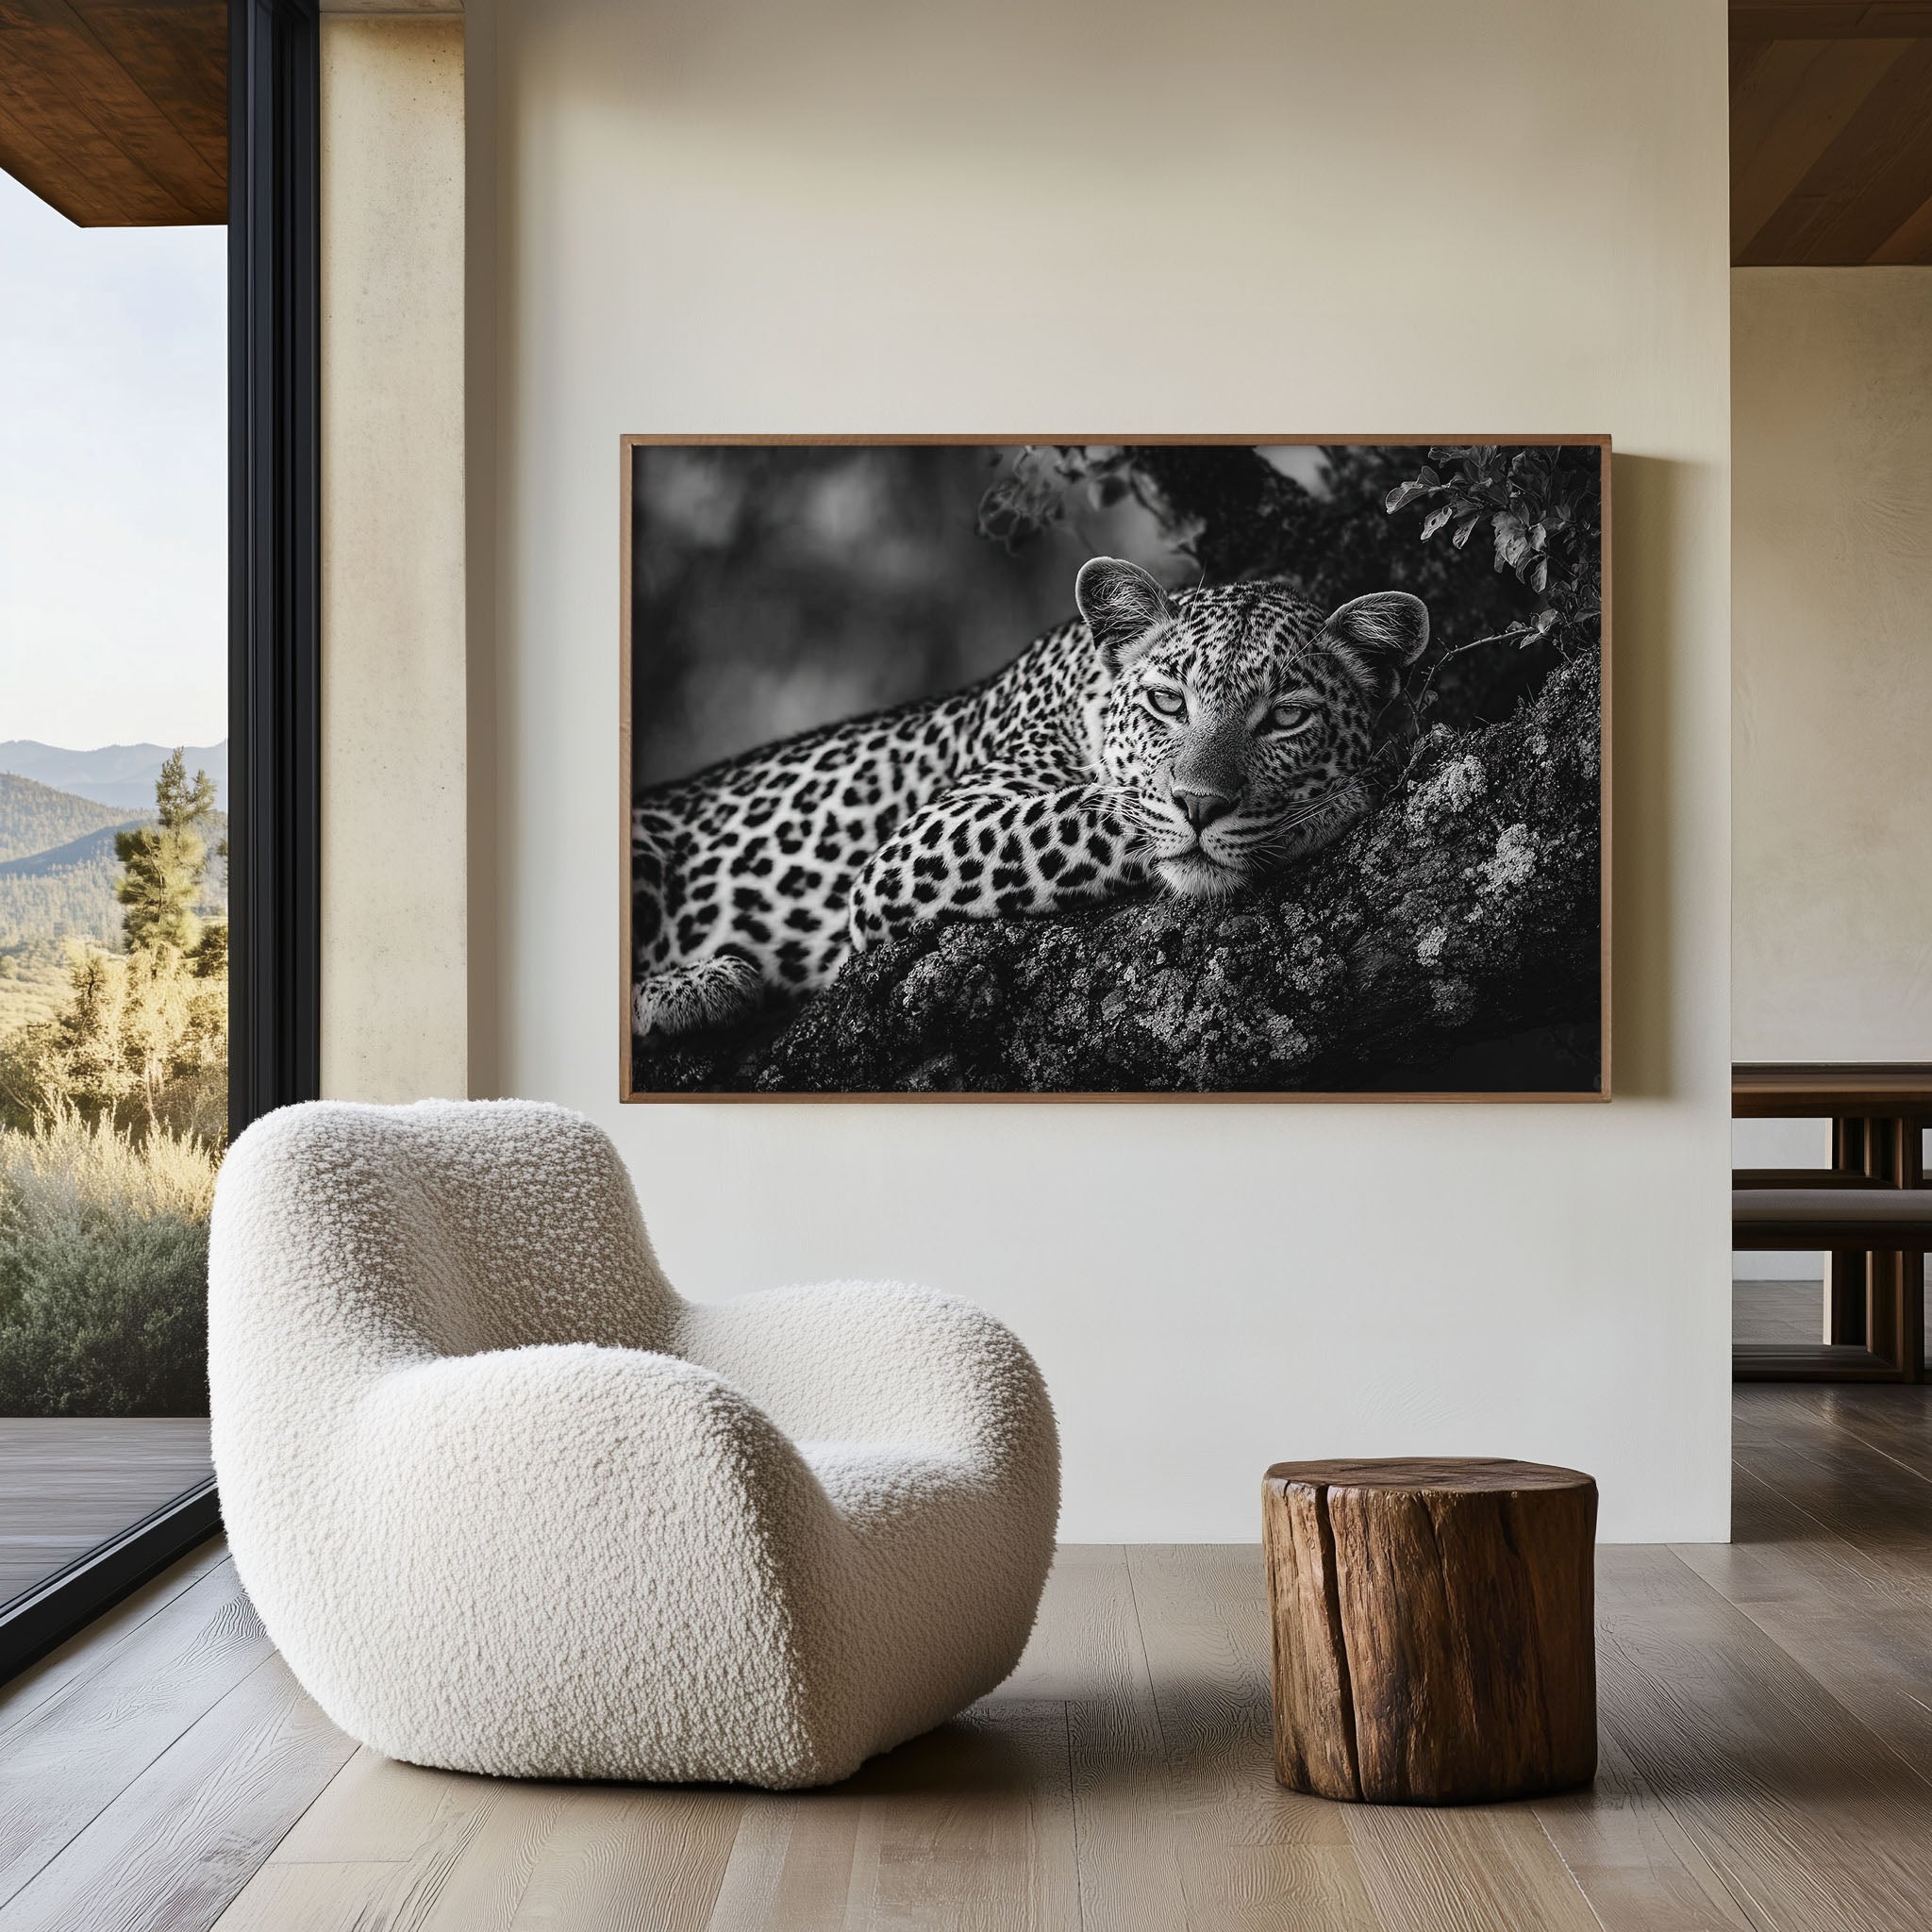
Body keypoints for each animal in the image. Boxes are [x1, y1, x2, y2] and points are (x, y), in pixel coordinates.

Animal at [631, 557, 1429, 1039]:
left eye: (1287, 718)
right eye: (1168, 702)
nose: (1202, 805)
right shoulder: (920, 841)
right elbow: (1100, 810)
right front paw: (1330, 805)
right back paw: (696, 988)